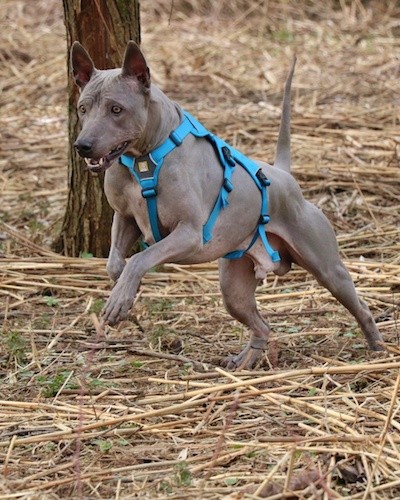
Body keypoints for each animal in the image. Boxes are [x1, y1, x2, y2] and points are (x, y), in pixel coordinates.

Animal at [70, 41, 382, 370]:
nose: (83, 145)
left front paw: (120, 299)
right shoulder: (125, 217)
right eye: (83, 108)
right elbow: (116, 264)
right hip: (234, 288)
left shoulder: (189, 234)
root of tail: (284, 175)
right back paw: (245, 362)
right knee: (262, 326)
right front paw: (123, 294)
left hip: (328, 269)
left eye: (116, 109)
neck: (144, 159)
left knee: (360, 306)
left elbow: (139, 259)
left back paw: (377, 348)